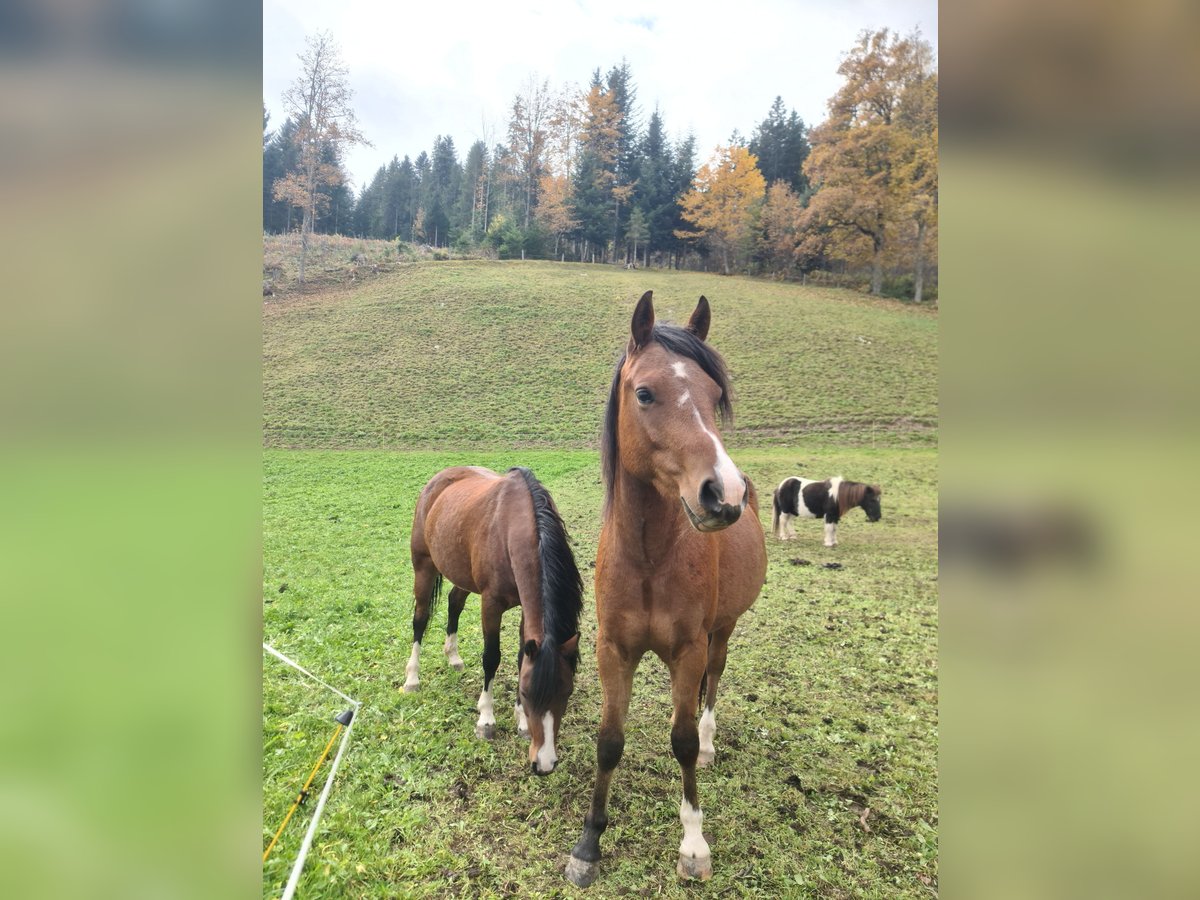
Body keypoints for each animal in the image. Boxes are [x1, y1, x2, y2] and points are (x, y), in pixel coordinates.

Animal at [404, 466, 582, 776]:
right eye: (526, 692)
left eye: (567, 692)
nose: (544, 764)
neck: (512, 529)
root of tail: (438, 479)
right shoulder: (491, 604)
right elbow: (491, 657)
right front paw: (486, 719)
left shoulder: (525, 608)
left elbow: (522, 658)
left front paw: (521, 721)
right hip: (424, 566)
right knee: (420, 620)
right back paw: (412, 678)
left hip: (460, 572)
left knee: (454, 603)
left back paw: (453, 657)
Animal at [565, 292, 767, 887]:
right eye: (645, 393)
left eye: (715, 396)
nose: (724, 493)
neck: (651, 558)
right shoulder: (614, 650)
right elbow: (609, 742)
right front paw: (589, 843)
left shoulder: (687, 649)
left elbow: (680, 741)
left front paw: (694, 843)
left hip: (722, 631)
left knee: (713, 684)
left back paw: (710, 742)